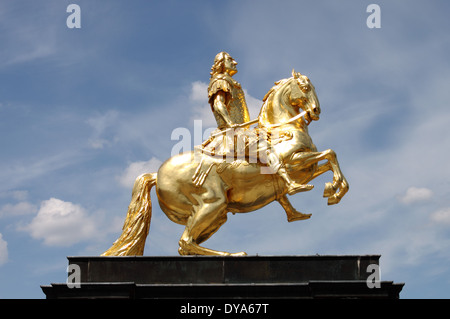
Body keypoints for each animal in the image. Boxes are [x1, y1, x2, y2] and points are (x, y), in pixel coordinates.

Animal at [101, 70, 348, 258]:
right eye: (305, 87)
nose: (316, 111)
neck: (282, 129)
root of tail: (156, 174)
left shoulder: (308, 168)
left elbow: (330, 159)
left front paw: (333, 191)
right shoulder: (295, 163)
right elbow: (329, 154)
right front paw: (330, 190)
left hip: (216, 215)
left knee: (188, 244)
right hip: (212, 203)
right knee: (185, 242)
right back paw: (234, 254)